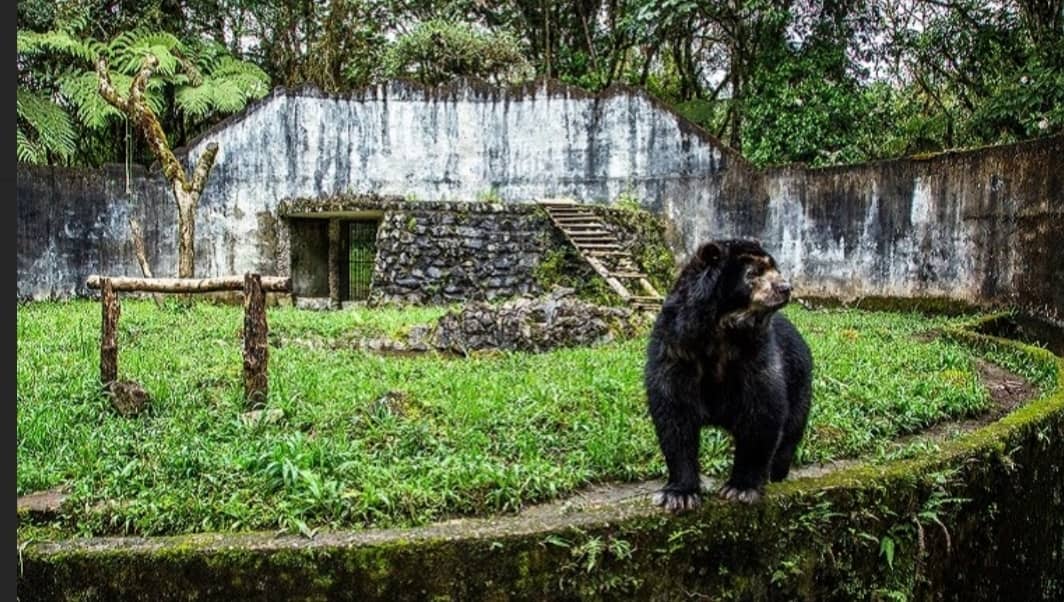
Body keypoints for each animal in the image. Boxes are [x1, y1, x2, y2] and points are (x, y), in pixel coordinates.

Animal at [644, 239, 813, 511]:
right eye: (752, 274)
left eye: (775, 269)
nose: (785, 287)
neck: (723, 329)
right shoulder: (675, 349)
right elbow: (674, 415)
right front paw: (678, 495)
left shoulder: (757, 355)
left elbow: (762, 412)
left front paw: (741, 489)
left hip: (800, 383)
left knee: (790, 434)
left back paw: (776, 474)